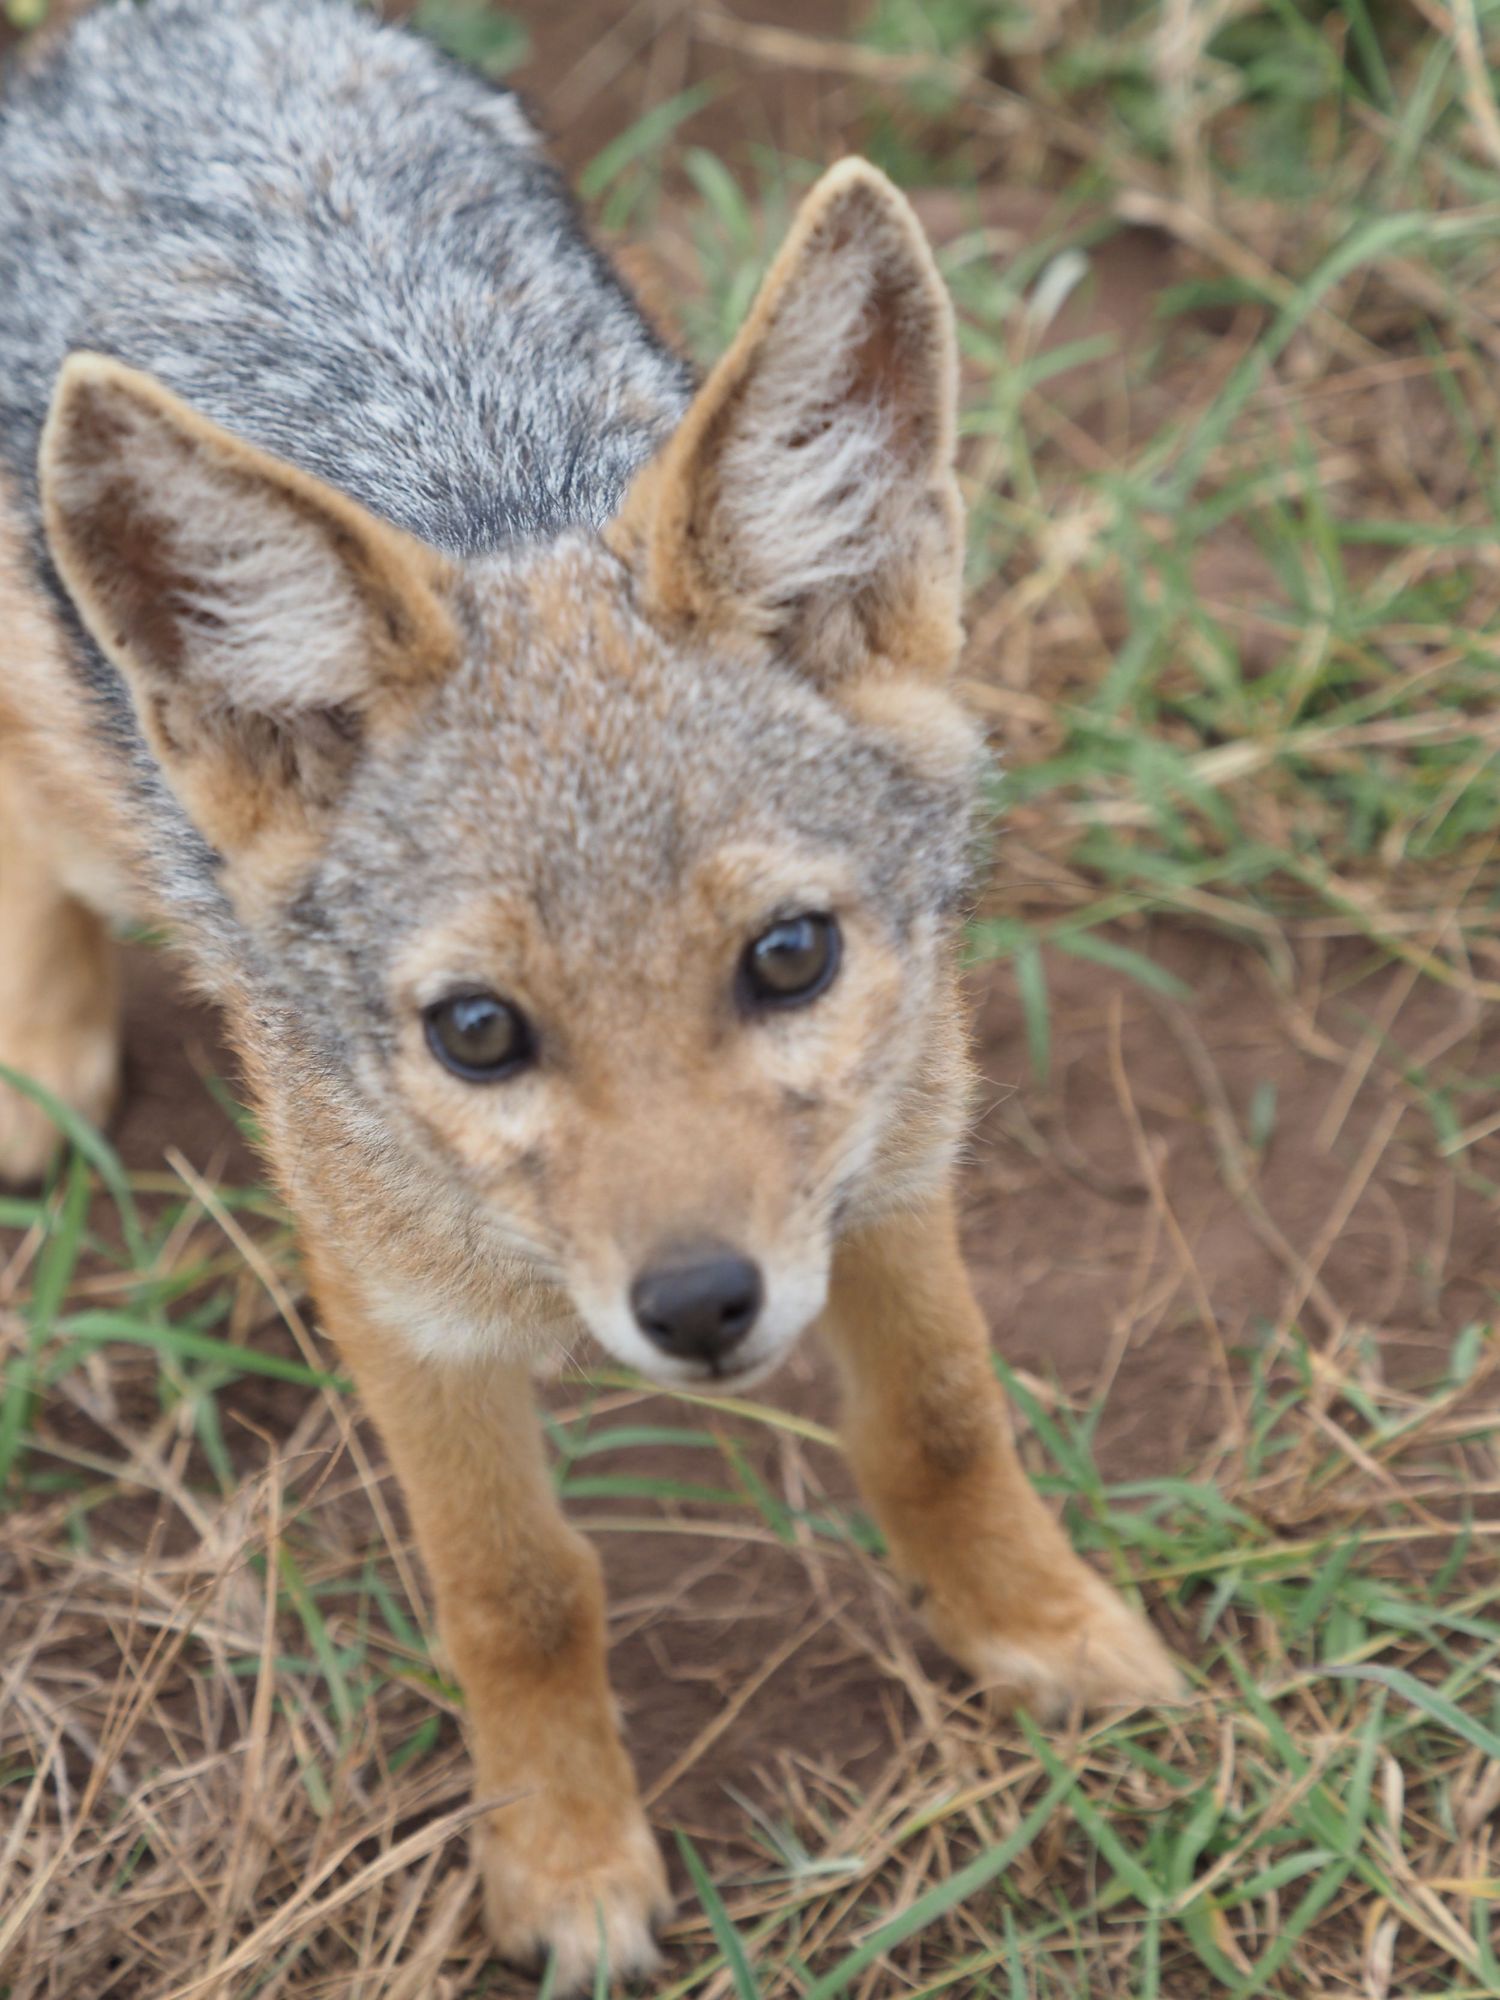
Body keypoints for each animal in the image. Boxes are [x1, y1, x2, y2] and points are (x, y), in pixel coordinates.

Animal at [0, 0, 1180, 1987]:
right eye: (479, 1033)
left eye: (789, 958)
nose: (700, 1305)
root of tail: (157, 33)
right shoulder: (402, 1307)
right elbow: (522, 1591)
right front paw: (562, 1862)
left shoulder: (893, 1166)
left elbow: (942, 1424)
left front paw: (1047, 1633)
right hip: (92, 788)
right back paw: (41, 1047)